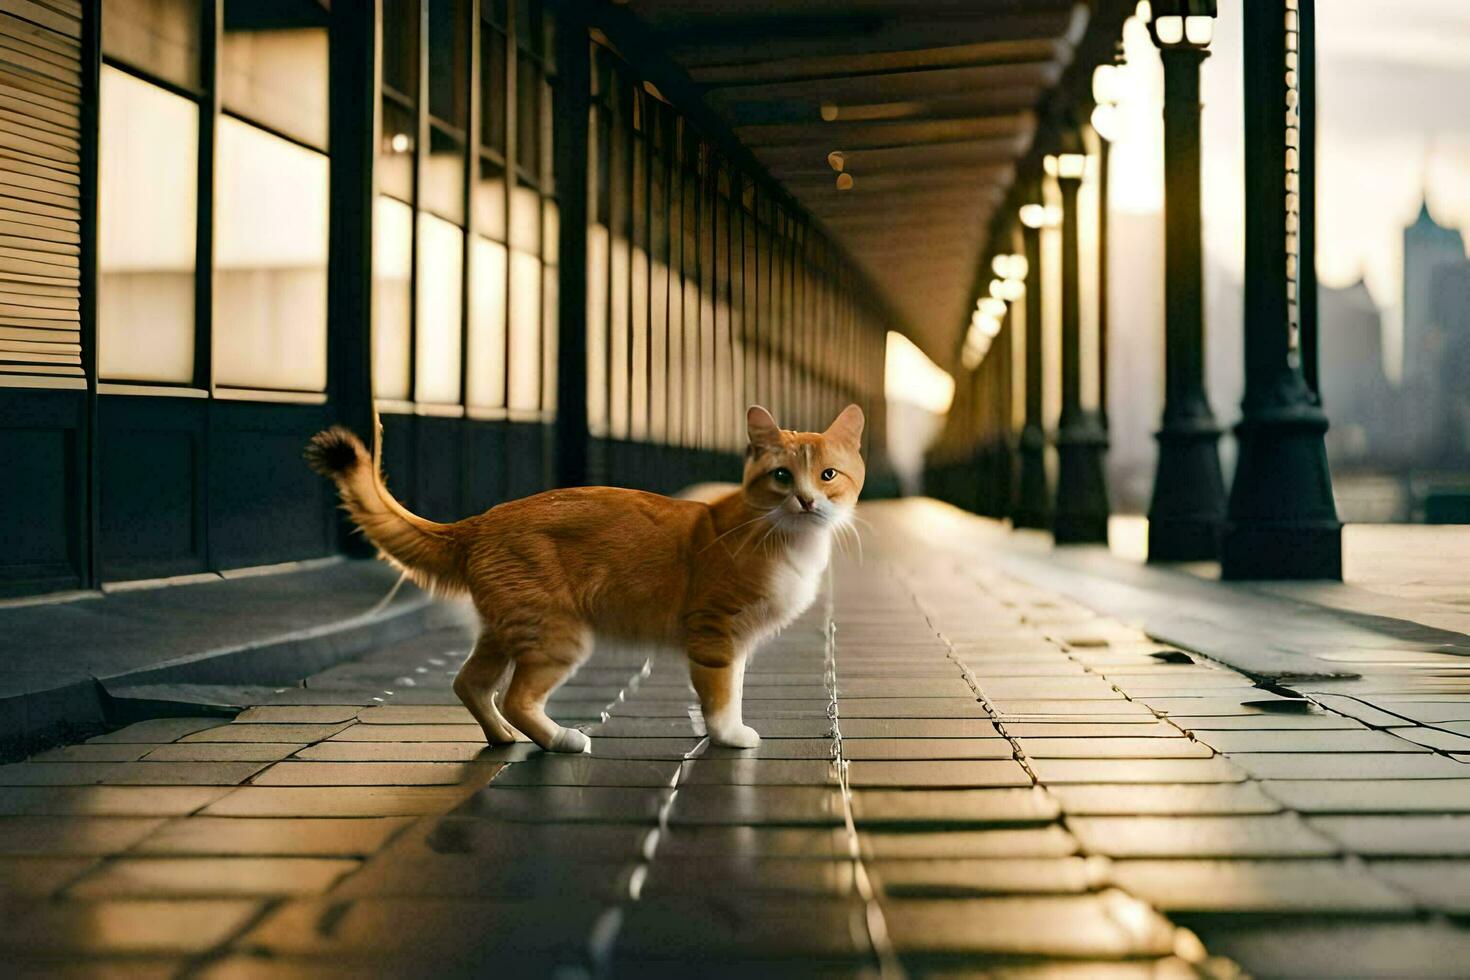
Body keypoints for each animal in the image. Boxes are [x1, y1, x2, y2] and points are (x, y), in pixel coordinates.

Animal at [307, 402, 858, 758]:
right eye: (783, 477)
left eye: (828, 476)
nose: (807, 500)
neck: (787, 540)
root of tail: (480, 521)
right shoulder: (715, 632)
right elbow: (720, 695)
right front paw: (729, 736)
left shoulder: (736, 642)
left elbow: (737, 688)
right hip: (558, 634)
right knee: (516, 697)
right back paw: (561, 739)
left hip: (506, 626)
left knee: (470, 682)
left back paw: (501, 738)